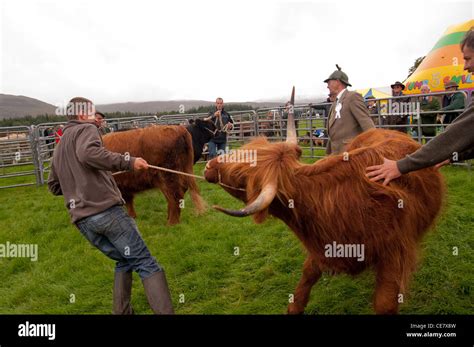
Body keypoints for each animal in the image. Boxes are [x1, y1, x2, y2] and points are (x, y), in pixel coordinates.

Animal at [206, 111, 446, 316]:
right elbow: (307, 275)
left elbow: (385, 303)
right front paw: (294, 307)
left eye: (239, 175)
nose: (208, 164)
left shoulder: (395, 252)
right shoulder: (322, 245)